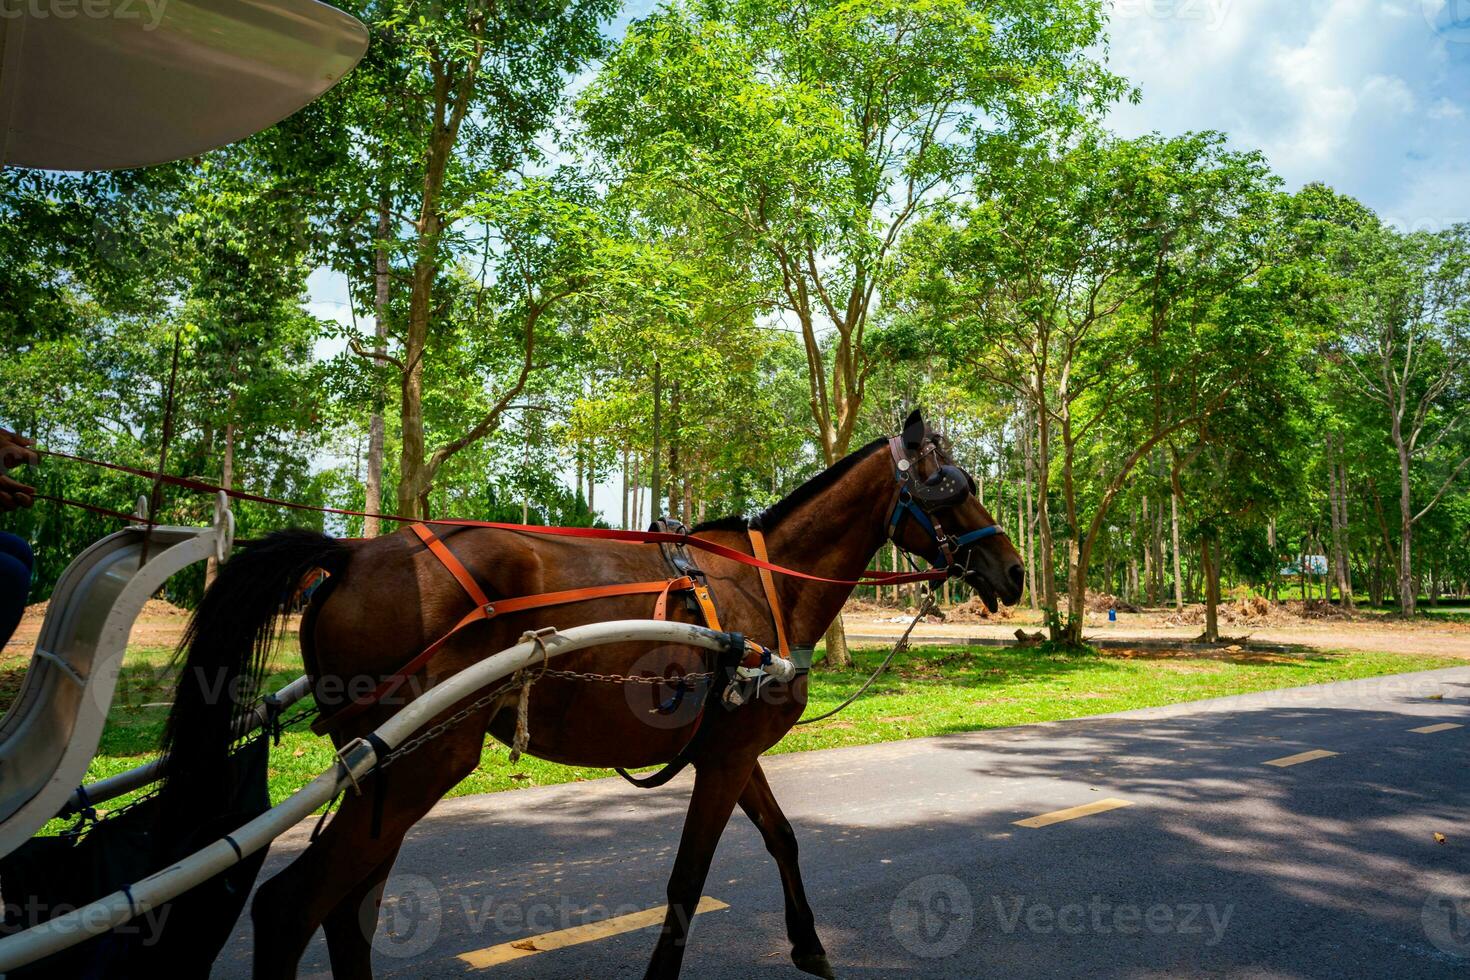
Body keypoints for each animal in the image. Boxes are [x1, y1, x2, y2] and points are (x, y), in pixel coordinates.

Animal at [158, 408, 1023, 980]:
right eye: (951, 486)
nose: (1013, 571)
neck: (766, 582)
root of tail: (351, 553)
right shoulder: (725, 758)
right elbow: (688, 880)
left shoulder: (732, 748)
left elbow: (783, 838)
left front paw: (810, 945)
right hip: (419, 759)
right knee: (292, 908)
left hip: (387, 769)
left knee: (347, 909)